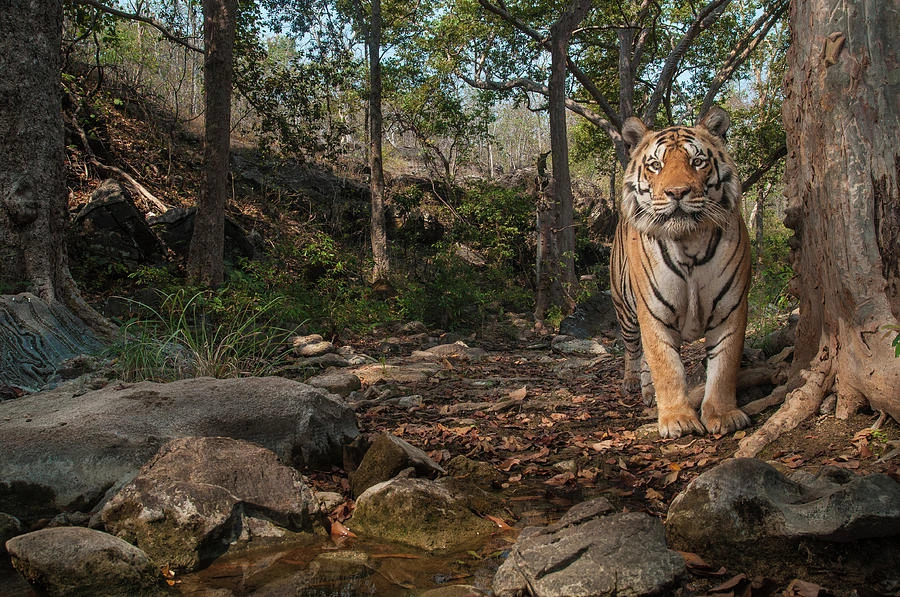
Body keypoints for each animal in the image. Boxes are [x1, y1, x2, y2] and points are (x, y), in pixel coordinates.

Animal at [612, 107, 752, 440]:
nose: (677, 192)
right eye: (656, 165)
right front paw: (678, 419)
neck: (689, 243)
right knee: (633, 350)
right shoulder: (653, 311)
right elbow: (666, 366)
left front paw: (723, 415)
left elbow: (724, 365)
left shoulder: (731, 308)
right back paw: (631, 384)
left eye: (697, 161)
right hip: (625, 309)